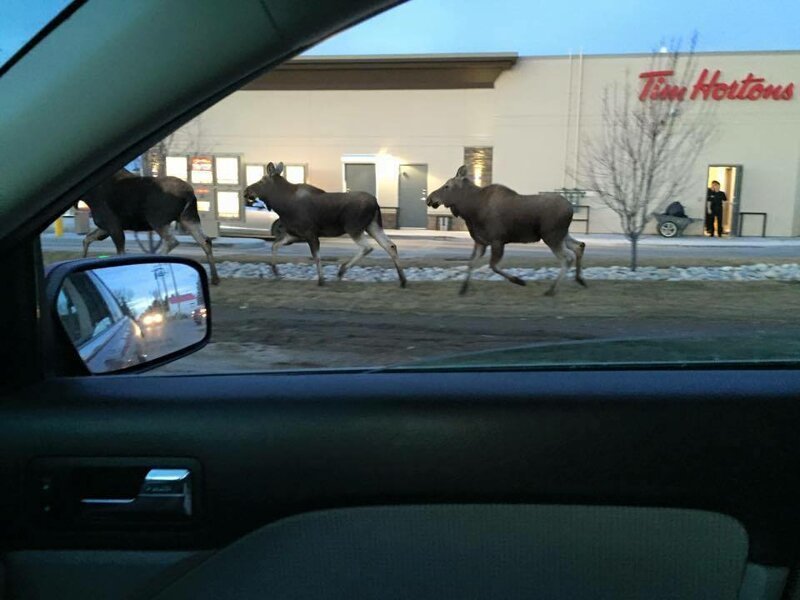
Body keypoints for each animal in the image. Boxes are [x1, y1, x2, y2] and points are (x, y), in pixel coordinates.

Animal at [80, 166, 220, 284]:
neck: (88, 197)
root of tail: (190, 194)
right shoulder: (105, 227)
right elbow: (87, 238)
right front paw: (82, 259)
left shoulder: (112, 224)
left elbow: (120, 253)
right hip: (187, 218)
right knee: (205, 241)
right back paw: (215, 278)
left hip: (157, 219)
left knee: (172, 241)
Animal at [242, 163, 406, 288]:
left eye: (262, 180)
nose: (246, 190)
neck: (281, 205)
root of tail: (376, 203)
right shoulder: (294, 234)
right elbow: (274, 245)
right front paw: (276, 272)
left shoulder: (310, 233)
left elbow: (316, 257)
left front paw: (321, 280)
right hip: (372, 226)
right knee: (390, 245)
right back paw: (402, 280)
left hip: (353, 227)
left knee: (368, 247)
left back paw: (341, 271)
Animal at [424, 165, 588, 296]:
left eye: (446, 186)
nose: (429, 199)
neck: (471, 211)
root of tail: (571, 209)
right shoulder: (481, 242)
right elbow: (471, 263)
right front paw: (463, 289)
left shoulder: (497, 240)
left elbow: (493, 266)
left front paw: (519, 281)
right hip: (562, 235)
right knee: (579, 246)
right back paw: (579, 279)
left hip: (552, 236)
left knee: (567, 258)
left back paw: (552, 290)